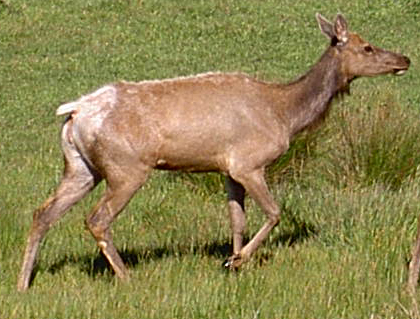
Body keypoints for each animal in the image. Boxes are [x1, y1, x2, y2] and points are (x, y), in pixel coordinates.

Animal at [17, 13, 410, 292]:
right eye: (367, 47)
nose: (404, 59)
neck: (284, 113)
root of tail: (76, 111)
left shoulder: (227, 169)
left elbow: (237, 219)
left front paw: (235, 261)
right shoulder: (250, 163)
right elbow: (274, 212)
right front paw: (235, 262)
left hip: (81, 167)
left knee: (43, 213)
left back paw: (23, 283)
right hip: (125, 167)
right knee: (97, 219)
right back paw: (127, 278)